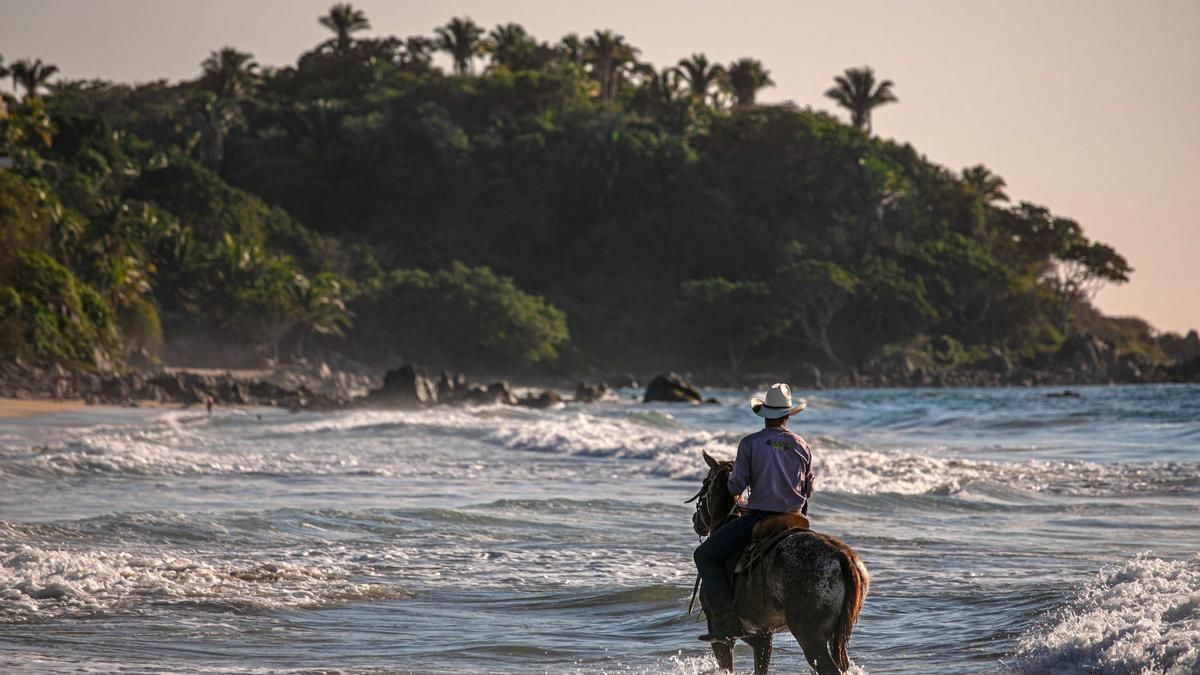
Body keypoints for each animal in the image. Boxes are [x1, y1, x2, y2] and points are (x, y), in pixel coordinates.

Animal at [686, 446, 873, 672]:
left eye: (705, 482)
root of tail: (842, 557)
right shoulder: (762, 636)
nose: (696, 520)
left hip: (810, 637)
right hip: (834, 637)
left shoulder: (721, 638)